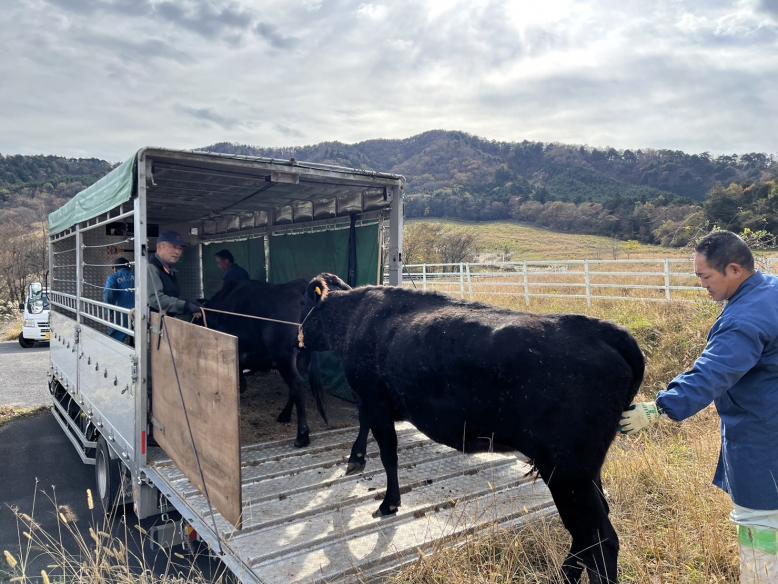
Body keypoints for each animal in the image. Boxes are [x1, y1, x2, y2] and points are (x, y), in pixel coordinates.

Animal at [203, 278, 324, 448]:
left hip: (284, 357)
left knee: (298, 385)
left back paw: (302, 436)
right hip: (302, 357)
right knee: (295, 387)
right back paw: (284, 415)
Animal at [298, 274, 644, 584]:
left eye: (304, 306)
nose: (297, 338)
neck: (356, 317)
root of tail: (602, 329)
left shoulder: (374, 398)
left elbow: (388, 453)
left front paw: (389, 502)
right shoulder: (372, 400)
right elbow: (365, 425)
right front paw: (355, 458)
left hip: (567, 471)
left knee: (599, 538)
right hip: (583, 472)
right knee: (589, 532)